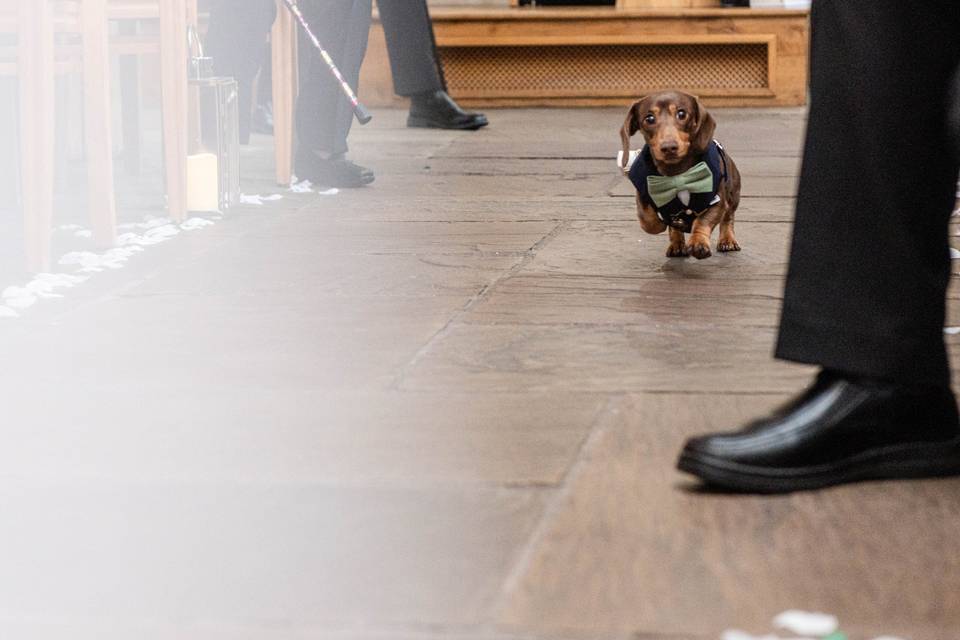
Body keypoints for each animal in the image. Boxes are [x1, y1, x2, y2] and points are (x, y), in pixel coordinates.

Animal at [620, 90, 748, 260]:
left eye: (681, 114)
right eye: (649, 118)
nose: (669, 147)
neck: (677, 173)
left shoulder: (717, 201)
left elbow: (702, 221)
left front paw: (698, 242)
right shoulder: (642, 193)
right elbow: (649, 221)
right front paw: (666, 223)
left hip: (733, 195)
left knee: (728, 217)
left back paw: (727, 240)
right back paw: (677, 244)